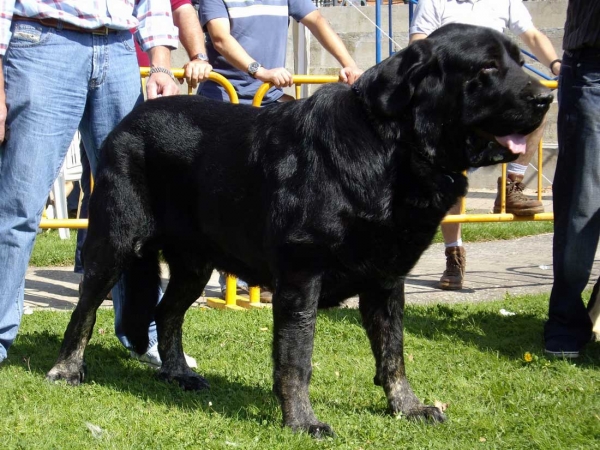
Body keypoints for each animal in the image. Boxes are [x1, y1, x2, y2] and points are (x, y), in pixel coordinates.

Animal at [47, 24, 552, 436]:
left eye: (517, 60)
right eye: (487, 67)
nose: (546, 98)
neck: (390, 147)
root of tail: (126, 122)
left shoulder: (387, 281)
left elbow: (393, 353)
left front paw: (407, 408)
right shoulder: (300, 278)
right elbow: (297, 358)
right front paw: (302, 421)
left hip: (194, 265)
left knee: (167, 313)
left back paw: (178, 373)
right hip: (116, 243)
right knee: (85, 310)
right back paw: (66, 370)